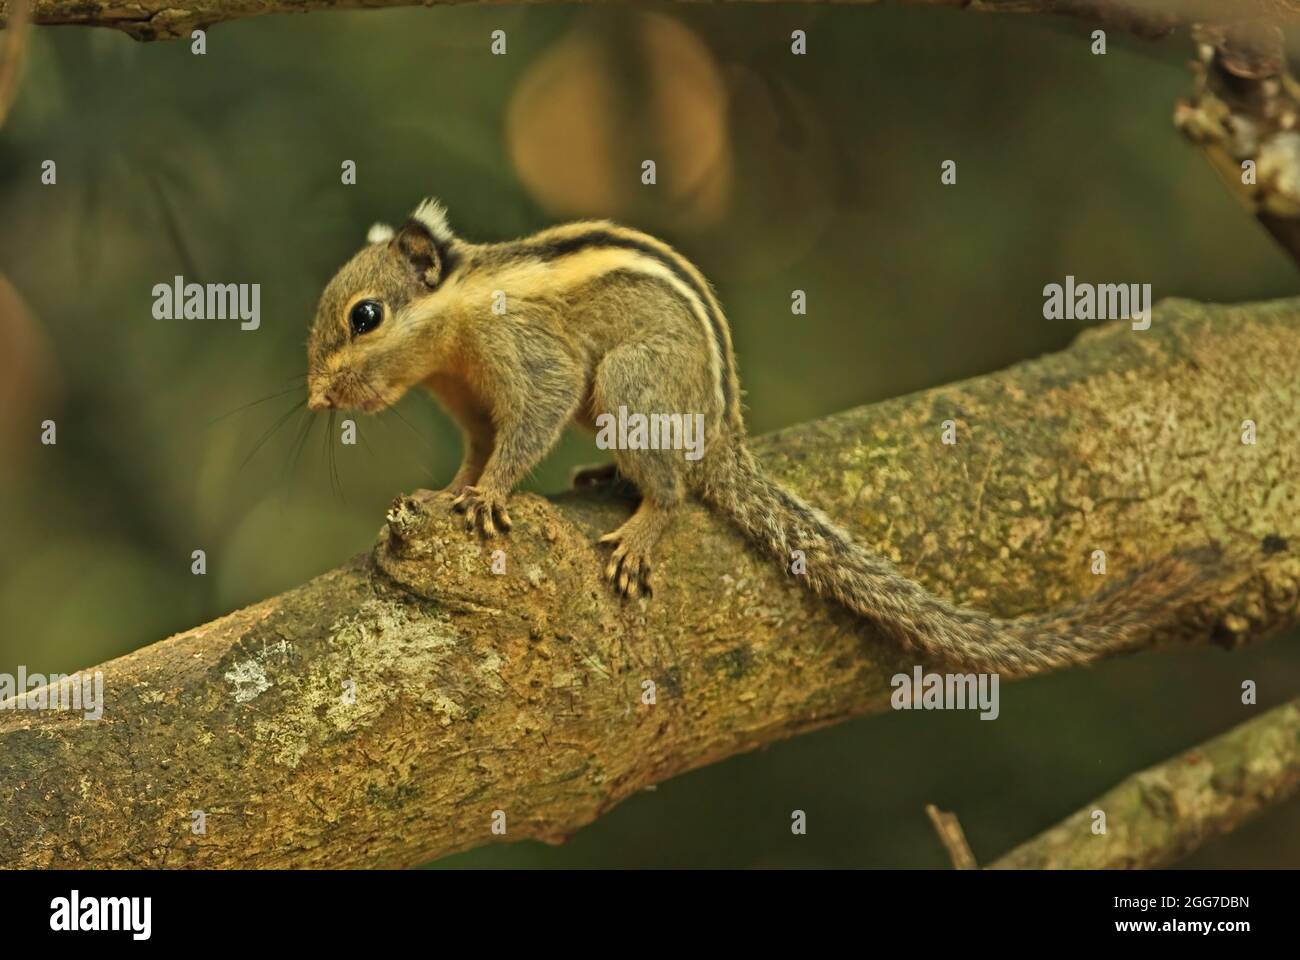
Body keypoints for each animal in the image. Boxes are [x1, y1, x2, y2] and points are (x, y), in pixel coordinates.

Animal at [309, 196, 1211, 671]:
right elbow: (474, 450)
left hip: (631, 384)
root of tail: (724, 434)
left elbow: (528, 425)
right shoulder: (467, 404)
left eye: (366, 316)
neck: (456, 319)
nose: (317, 396)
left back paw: (644, 520)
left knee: (674, 486)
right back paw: (607, 479)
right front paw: (450, 491)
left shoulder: (528, 361)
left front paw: (490, 495)